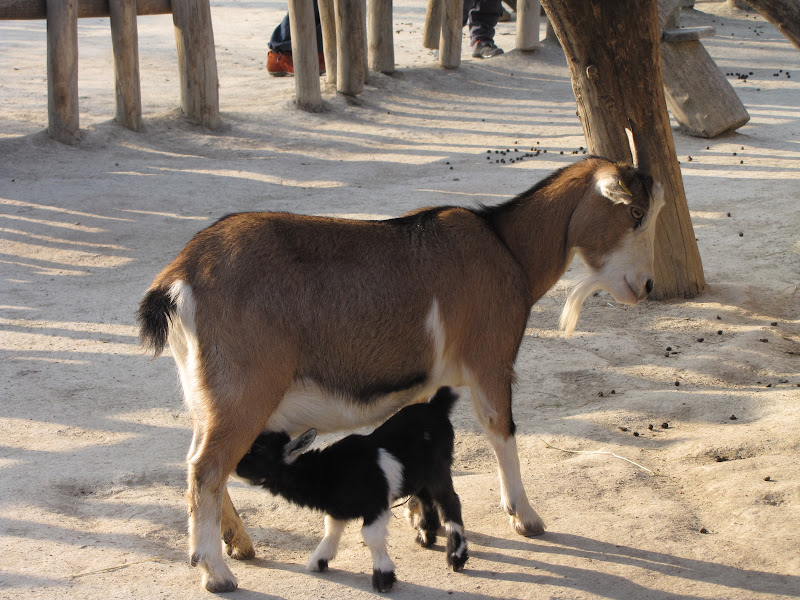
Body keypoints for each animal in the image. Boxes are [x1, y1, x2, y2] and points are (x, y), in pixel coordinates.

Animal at [234, 386, 466, 592]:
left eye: (258, 450)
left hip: (438, 469)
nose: (234, 466)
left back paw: (456, 556)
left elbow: (371, 535)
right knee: (426, 497)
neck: (328, 471)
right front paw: (319, 560)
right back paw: (426, 536)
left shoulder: (375, 504)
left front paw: (383, 577)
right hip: (418, 475)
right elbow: (331, 530)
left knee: (449, 501)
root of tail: (436, 407)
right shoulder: (338, 509)